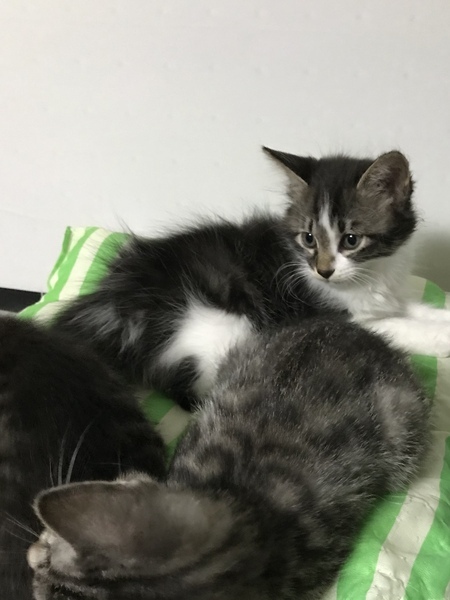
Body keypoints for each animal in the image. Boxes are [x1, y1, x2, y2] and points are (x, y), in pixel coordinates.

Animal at [50, 148, 450, 410]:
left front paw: (440, 318)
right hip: (217, 324)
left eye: (351, 240)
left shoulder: (393, 292)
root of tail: (107, 306)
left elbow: (413, 309)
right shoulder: (320, 310)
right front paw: (439, 337)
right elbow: (395, 325)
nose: (323, 270)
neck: (372, 275)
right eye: (309, 238)